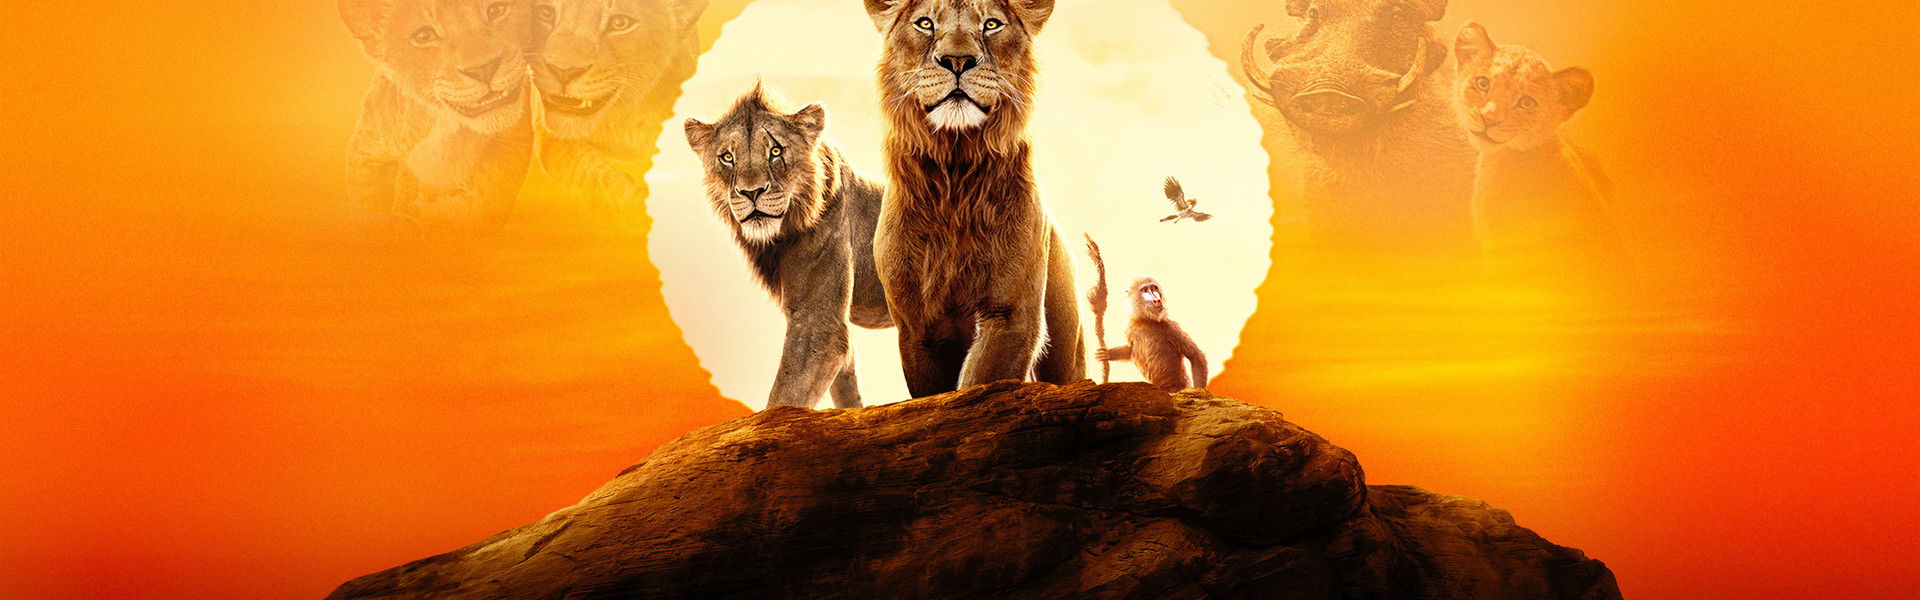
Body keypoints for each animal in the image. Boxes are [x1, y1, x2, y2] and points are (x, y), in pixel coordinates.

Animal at [532, 0, 710, 210]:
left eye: (619, 23)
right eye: (546, 12)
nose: (563, 71)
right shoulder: (549, 134)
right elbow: (590, 171)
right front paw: (632, 201)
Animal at [683, 86, 892, 409]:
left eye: (776, 151)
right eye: (727, 157)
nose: (751, 192)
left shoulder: (818, 322)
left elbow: (785, 395)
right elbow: (847, 388)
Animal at [862, 0, 1085, 397]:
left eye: (992, 25)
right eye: (925, 23)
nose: (957, 60)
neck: (955, 176)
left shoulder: (1011, 315)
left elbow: (982, 382)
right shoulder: (919, 328)